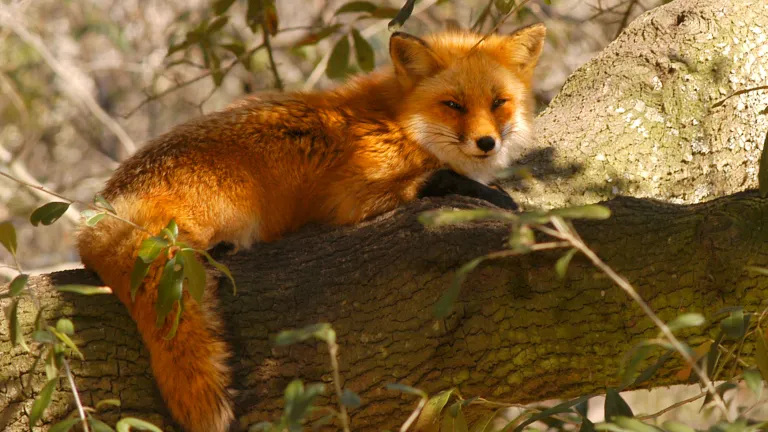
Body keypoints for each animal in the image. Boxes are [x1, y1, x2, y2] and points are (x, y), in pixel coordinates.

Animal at [76, 25, 544, 430]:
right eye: (454, 105)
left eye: (498, 102)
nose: (487, 143)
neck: (401, 124)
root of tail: (100, 216)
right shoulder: (355, 196)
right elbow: (440, 181)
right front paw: (496, 196)